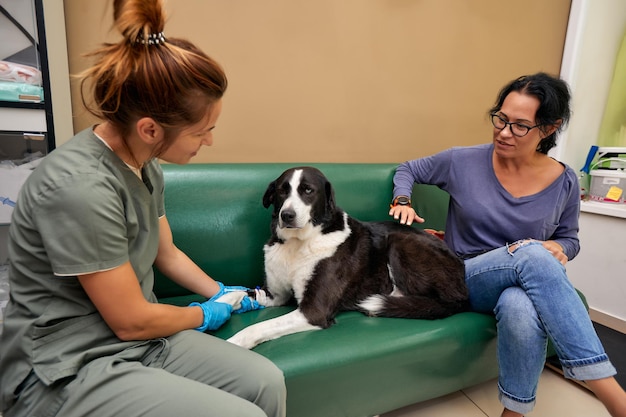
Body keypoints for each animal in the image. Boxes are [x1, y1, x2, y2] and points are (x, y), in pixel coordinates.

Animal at [227, 166, 466, 348]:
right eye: (281, 191)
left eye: (308, 190)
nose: (286, 215)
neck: (299, 242)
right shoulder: (274, 294)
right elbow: (235, 294)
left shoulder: (313, 311)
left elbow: (257, 327)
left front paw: (233, 344)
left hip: (399, 241)